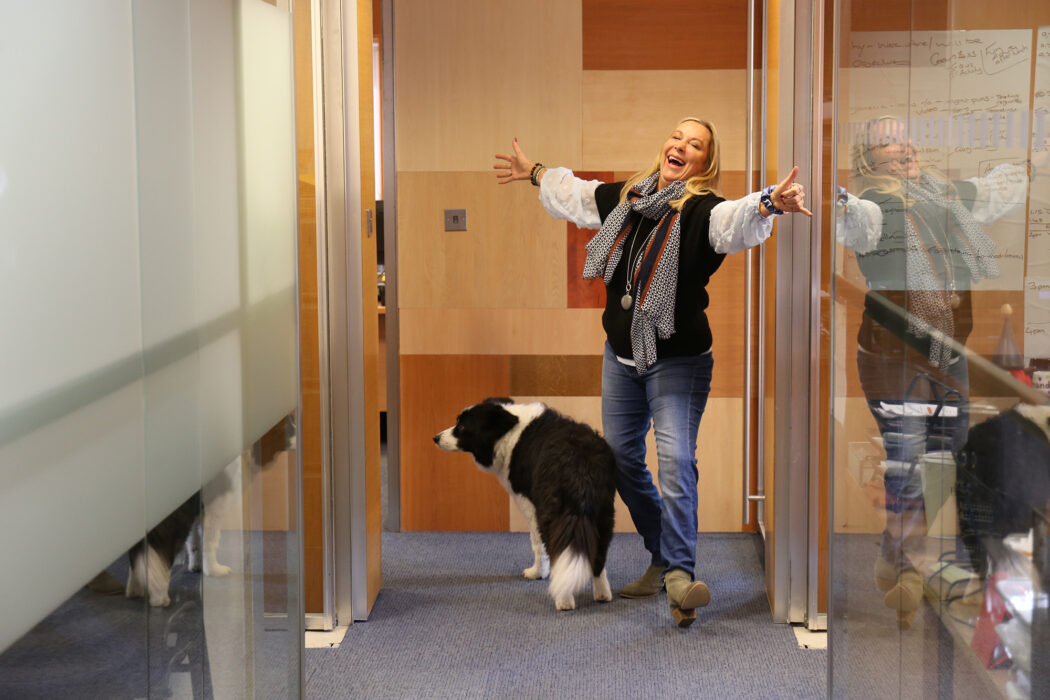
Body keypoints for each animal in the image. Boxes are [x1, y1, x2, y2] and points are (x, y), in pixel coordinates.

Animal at [432, 396, 617, 608]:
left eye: (462, 426)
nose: (435, 438)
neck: (506, 433)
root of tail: (578, 464)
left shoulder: (530, 505)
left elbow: (537, 545)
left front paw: (536, 573)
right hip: (603, 512)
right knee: (599, 554)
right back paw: (602, 594)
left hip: (553, 513)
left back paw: (564, 600)